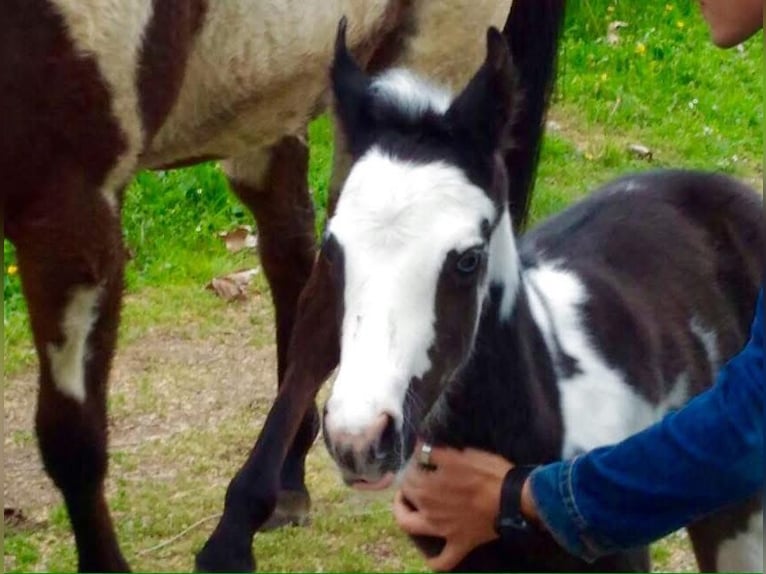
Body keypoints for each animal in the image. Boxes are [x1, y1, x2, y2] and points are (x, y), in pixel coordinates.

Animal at [1, 0, 573, 570]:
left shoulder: (73, 202)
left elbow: (72, 438)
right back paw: (287, 479)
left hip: (431, 60)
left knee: (321, 308)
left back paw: (240, 523)